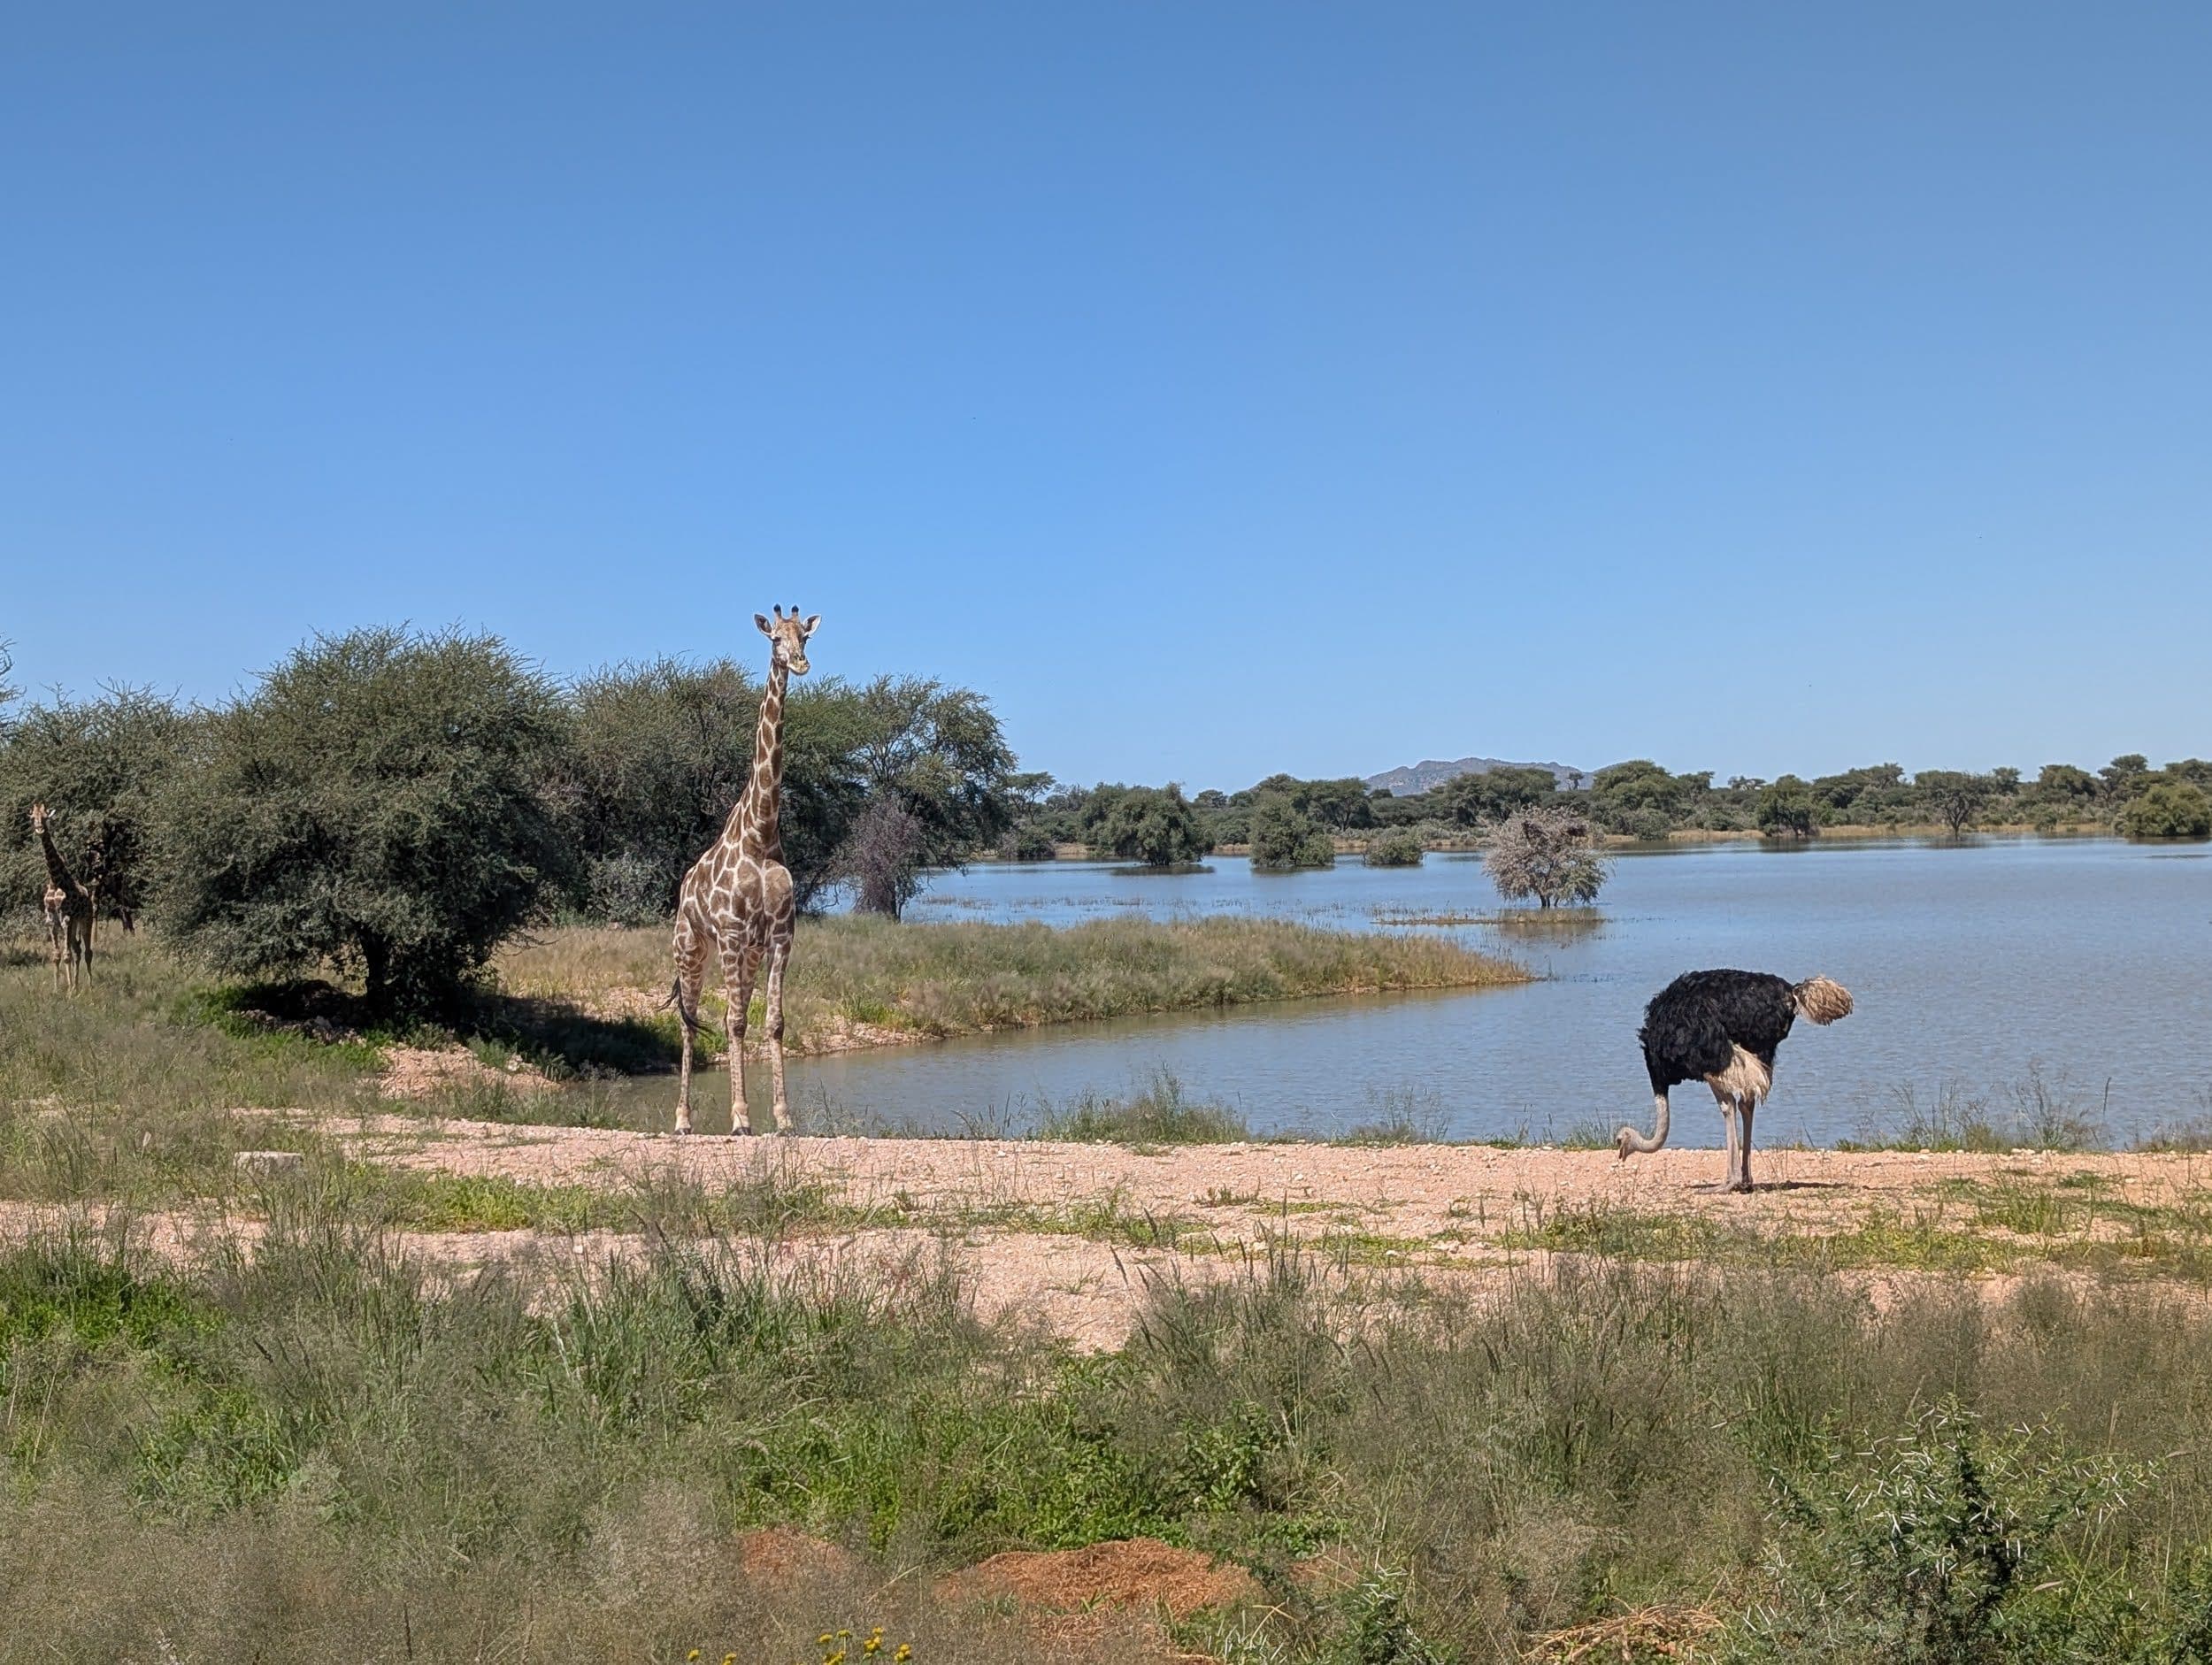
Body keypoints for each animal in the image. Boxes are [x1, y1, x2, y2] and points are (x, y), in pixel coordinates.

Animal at [29, 804, 93, 992]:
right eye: (33, 817)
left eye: (45, 817)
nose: (39, 828)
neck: (55, 882)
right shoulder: (51, 919)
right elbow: (57, 955)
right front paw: (58, 989)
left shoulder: (67, 918)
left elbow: (66, 955)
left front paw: (70, 992)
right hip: (74, 924)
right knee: (78, 949)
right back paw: (77, 985)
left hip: (86, 919)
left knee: (88, 952)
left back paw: (90, 986)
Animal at [669, 606, 820, 1134]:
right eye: (775, 639)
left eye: (806, 636)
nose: (800, 663)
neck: (761, 834)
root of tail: (682, 889)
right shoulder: (733, 933)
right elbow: (733, 1022)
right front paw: (739, 1118)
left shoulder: (779, 937)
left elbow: (773, 1022)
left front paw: (783, 1119)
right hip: (691, 949)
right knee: (690, 1020)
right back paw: (683, 1120)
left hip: (745, 955)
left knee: (727, 1016)